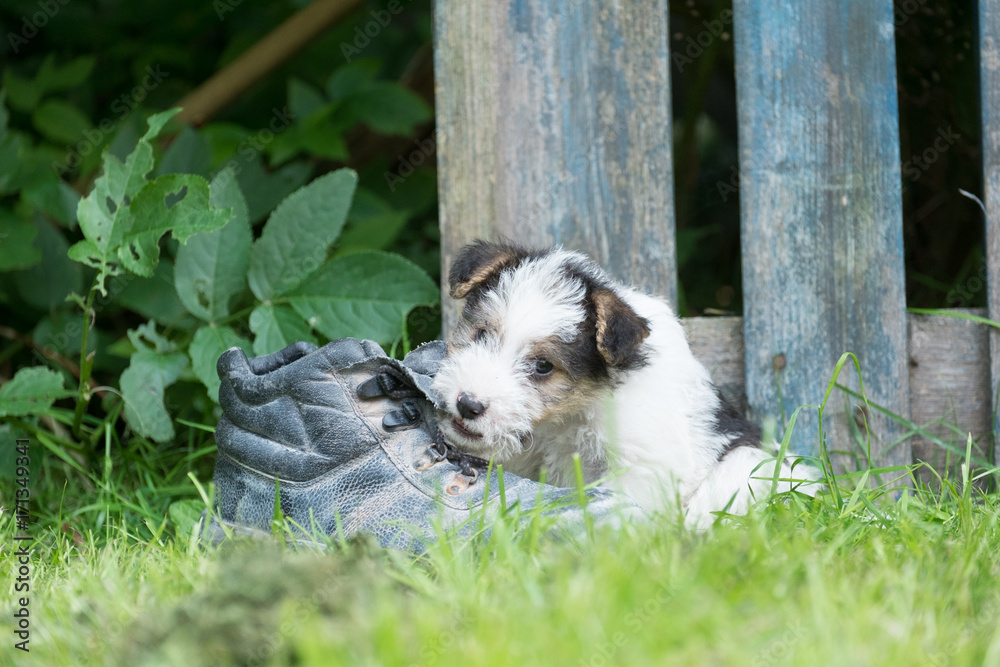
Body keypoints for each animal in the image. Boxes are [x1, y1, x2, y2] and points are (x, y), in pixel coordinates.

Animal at [432, 240, 820, 528]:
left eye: (544, 366)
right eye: (482, 334)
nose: (469, 404)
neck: (569, 413)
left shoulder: (640, 463)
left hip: (748, 467)